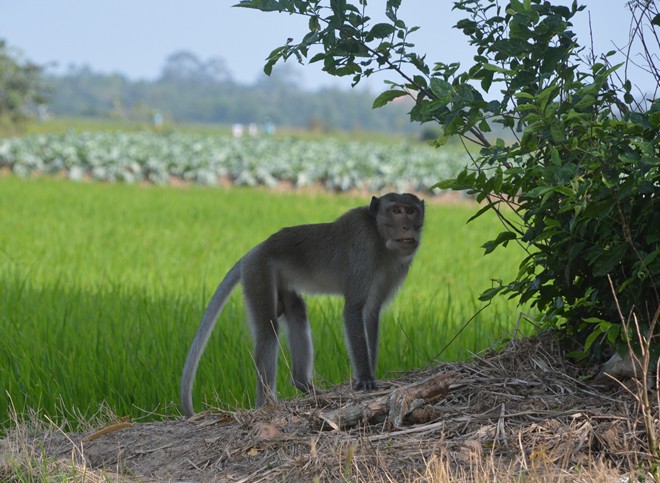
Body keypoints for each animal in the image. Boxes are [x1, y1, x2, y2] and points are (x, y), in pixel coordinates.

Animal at [180, 193, 426, 416]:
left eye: (411, 211)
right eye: (397, 211)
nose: (407, 227)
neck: (380, 238)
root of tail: (254, 250)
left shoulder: (397, 267)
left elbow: (371, 313)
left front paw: (370, 373)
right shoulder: (362, 249)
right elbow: (354, 309)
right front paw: (365, 378)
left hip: (281, 279)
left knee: (297, 312)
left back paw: (303, 384)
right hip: (258, 271)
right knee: (268, 330)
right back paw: (266, 404)